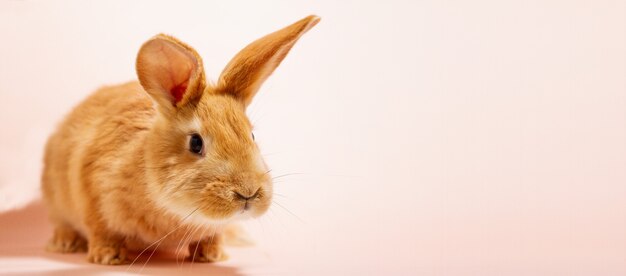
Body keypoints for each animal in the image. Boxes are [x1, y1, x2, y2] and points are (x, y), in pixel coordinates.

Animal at [40, 15, 316, 266]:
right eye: (196, 143)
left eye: (252, 135)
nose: (248, 193)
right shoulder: (93, 199)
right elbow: (103, 231)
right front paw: (108, 258)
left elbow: (212, 237)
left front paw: (212, 256)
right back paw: (65, 243)